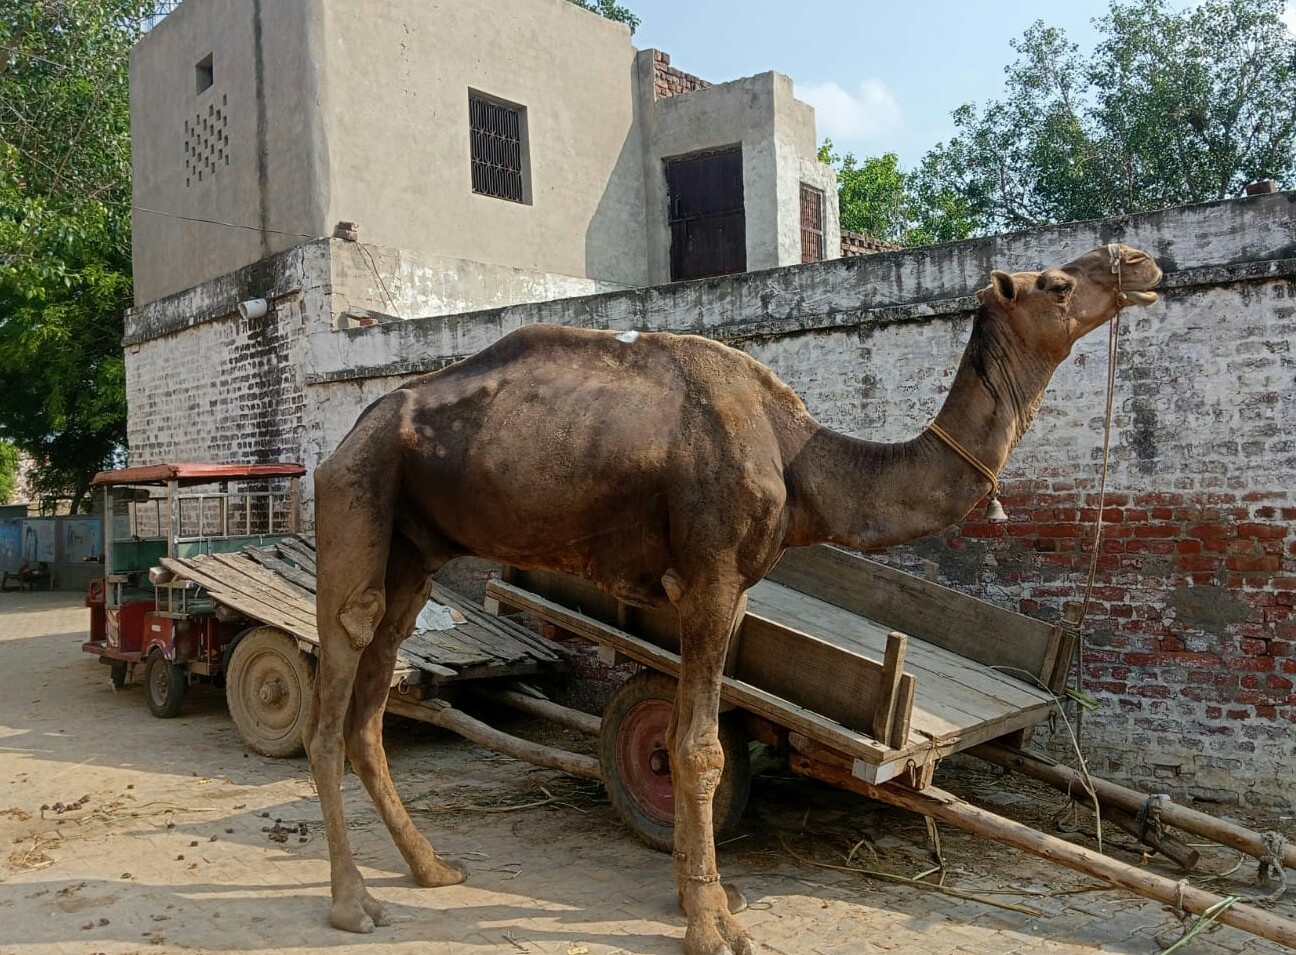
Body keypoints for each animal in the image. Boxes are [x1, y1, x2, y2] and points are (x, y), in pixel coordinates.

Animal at [305, 243, 1166, 953]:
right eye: (1056, 282)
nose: (1137, 260)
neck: (799, 456)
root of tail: (348, 432)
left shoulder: (738, 588)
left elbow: (702, 737)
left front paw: (703, 897)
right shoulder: (711, 576)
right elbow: (699, 748)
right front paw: (714, 924)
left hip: (414, 547)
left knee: (373, 697)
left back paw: (432, 866)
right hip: (356, 495)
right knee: (336, 679)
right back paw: (353, 902)